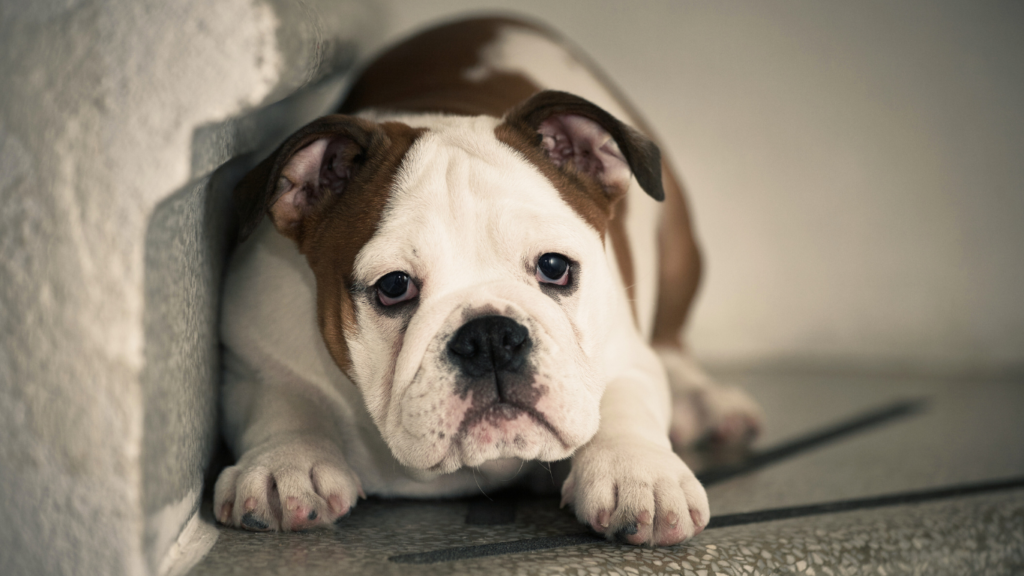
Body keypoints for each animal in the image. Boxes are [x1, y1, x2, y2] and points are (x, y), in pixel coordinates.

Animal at [216, 14, 761, 541]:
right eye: (393, 287)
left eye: (554, 267)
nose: (491, 336)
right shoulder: (253, 357)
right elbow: (281, 402)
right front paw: (284, 465)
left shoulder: (624, 355)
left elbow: (624, 403)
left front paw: (638, 472)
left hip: (678, 246)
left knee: (672, 338)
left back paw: (705, 400)